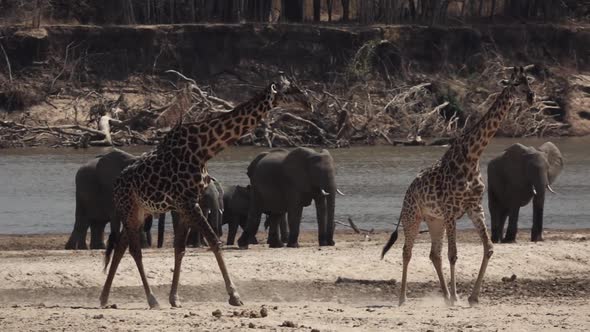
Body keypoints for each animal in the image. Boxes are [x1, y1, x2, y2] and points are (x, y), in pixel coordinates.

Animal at [99, 77, 312, 308]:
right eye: (289, 90)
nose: (309, 103)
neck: (203, 149)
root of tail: (116, 185)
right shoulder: (188, 202)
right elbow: (214, 242)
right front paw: (234, 296)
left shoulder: (186, 204)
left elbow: (180, 248)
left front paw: (175, 298)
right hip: (130, 210)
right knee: (134, 250)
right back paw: (151, 299)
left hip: (140, 212)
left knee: (121, 247)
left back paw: (104, 297)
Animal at [382, 66, 540, 308]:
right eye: (514, 83)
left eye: (528, 81)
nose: (531, 97)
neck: (473, 156)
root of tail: (408, 191)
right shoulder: (450, 210)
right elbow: (453, 254)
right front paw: (458, 297)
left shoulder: (474, 207)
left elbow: (488, 248)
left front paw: (472, 297)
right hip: (413, 216)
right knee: (407, 251)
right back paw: (403, 298)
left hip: (434, 220)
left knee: (433, 254)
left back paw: (445, 295)